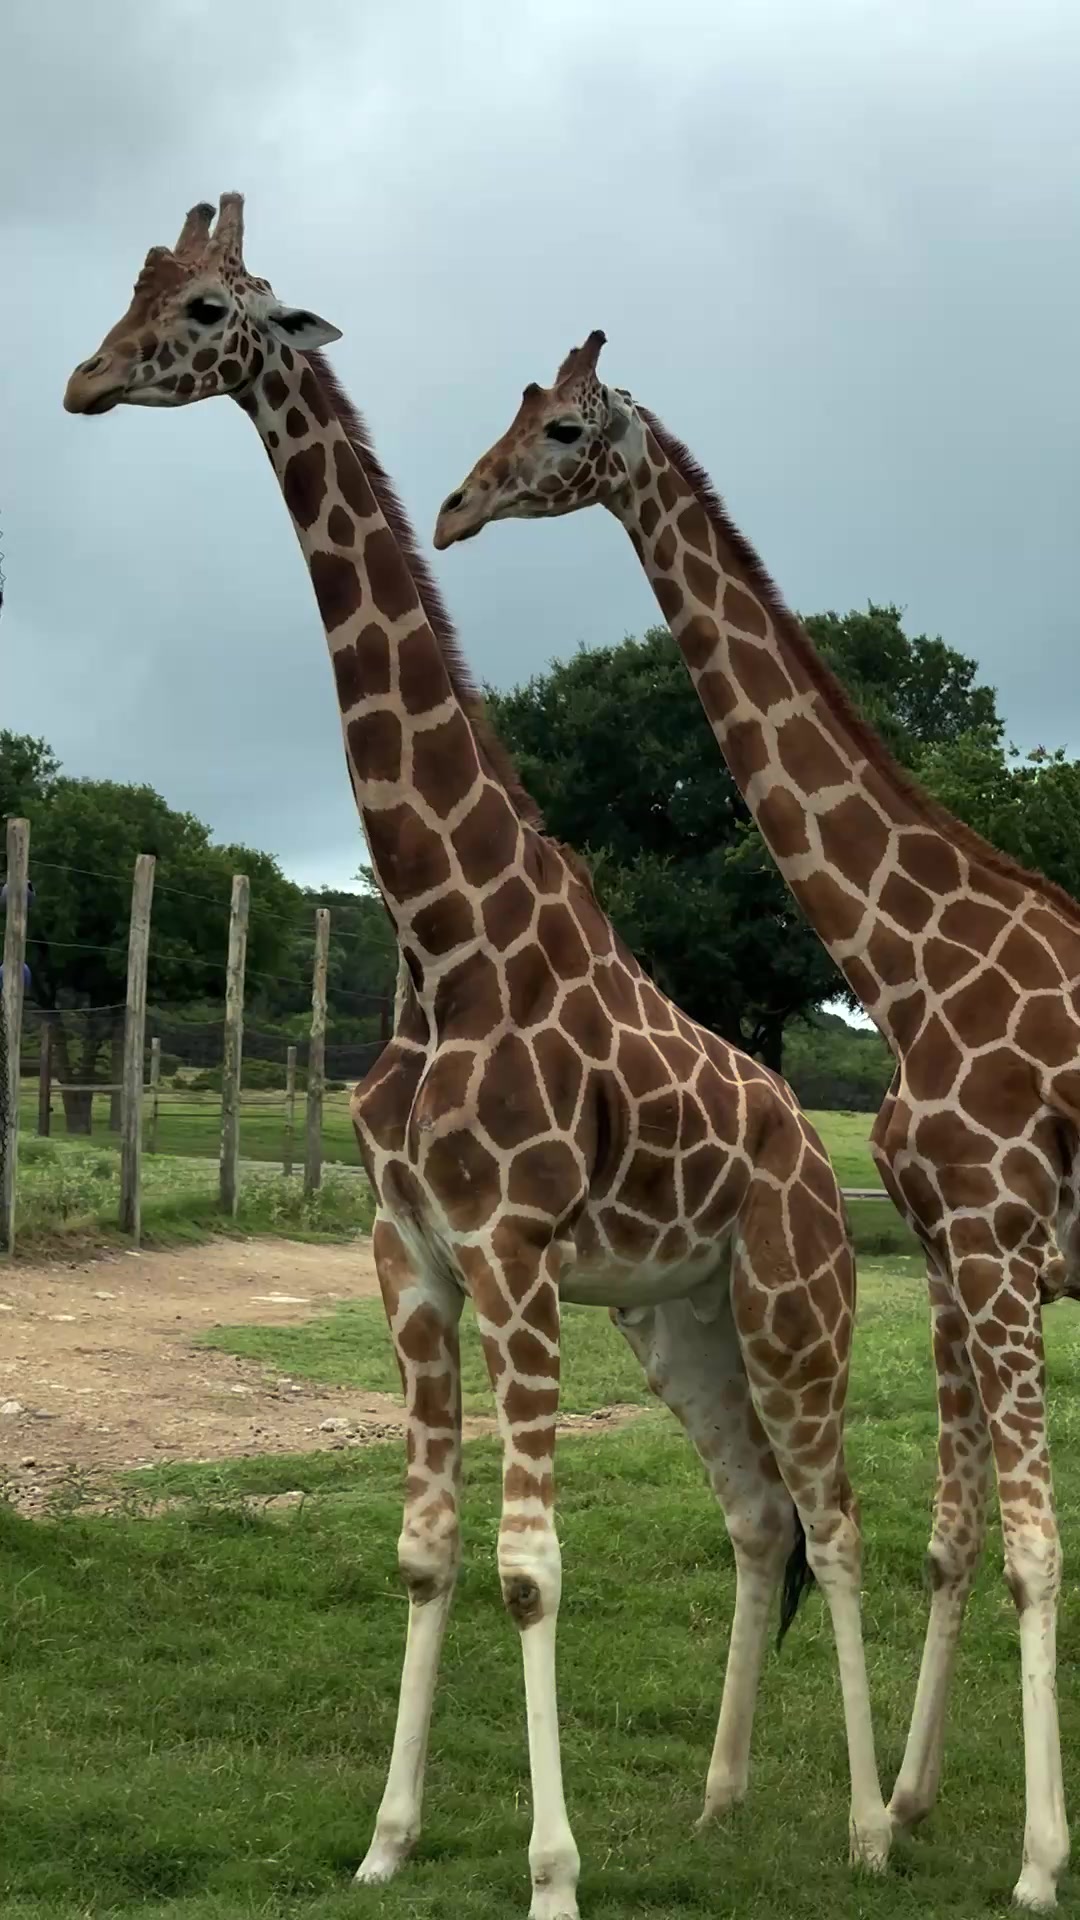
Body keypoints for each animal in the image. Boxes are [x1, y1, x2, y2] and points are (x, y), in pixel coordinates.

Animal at [63, 207, 892, 1915]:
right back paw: (719, 1799)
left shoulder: (513, 1252)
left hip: (794, 1301)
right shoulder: (414, 1256)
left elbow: (529, 1571)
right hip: (676, 1315)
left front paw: (552, 1872)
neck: (444, 938)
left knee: (837, 1521)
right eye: (130, 289)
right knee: (754, 1516)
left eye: (207, 308)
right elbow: (427, 1551)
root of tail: (812, 1150)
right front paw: (386, 1841)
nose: (83, 382)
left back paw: (860, 1827)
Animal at [433, 327, 1080, 1910]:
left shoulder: (998, 1241)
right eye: (516, 410)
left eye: (566, 428)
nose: (459, 505)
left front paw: (1038, 1861)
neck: (908, 968)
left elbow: (1032, 1547)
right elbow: (955, 1538)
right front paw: (904, 1804)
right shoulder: (965, 1260)